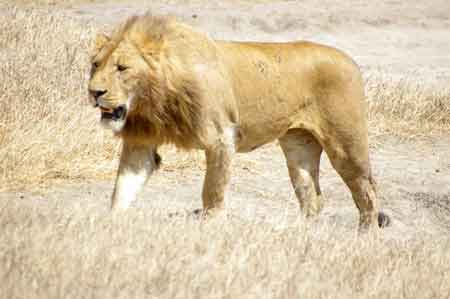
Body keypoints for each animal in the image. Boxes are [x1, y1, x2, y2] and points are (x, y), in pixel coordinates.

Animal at [88, 14, 390, 231]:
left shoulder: (221, 137)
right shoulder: (141, 142)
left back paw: (366, 236)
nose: (94, 92)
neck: (154, 99)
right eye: (95, 64)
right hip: (299, 147)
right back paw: (303, 235)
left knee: (367, 192)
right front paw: (110, 227)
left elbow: (212, 191)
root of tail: (349, 58)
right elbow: (122, 189)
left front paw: (210, 228)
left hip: (346, 145)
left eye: (122, 68)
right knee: (312, 197)